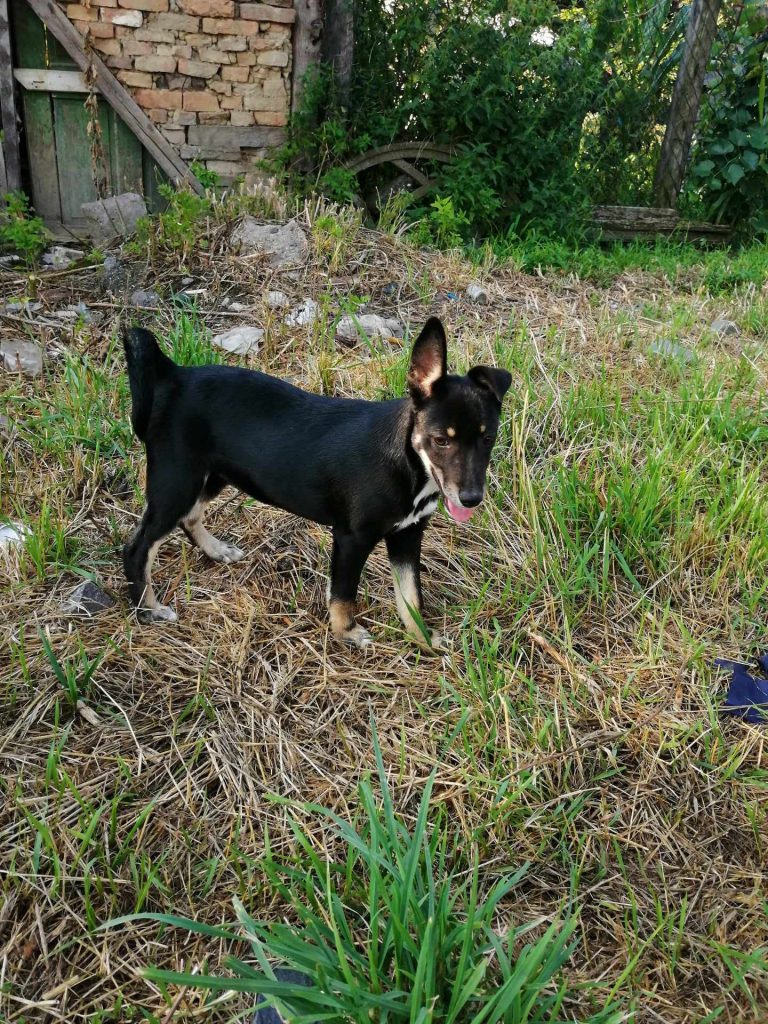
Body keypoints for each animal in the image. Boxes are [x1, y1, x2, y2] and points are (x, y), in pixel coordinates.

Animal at [124, 317, 512, 647]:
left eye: (488, 438)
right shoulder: (351, 538)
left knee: (189, 518)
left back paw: (215, 550)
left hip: (212, 475)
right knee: (138, 548)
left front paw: (423, 639)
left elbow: (410, 596)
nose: (471, 499)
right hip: (177, 480)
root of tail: (173, 375)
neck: (406, 462)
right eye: (441, 440)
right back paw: (148, 609)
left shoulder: (408, 535)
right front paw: (347, 633)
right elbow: (343, 593)